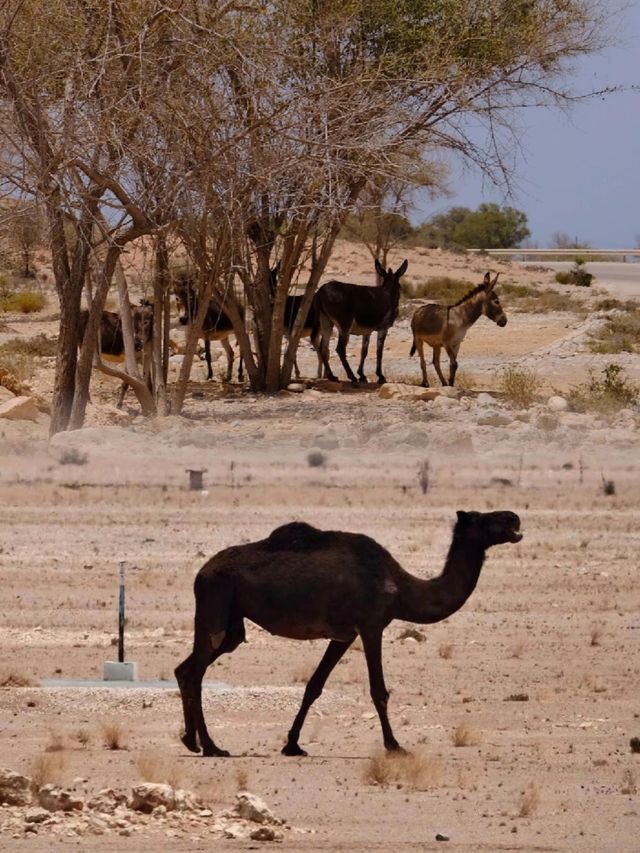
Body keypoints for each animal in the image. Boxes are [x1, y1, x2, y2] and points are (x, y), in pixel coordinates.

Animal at [174, 506, 520, 752]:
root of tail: (201, 573)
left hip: (232, 621)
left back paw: (191, 741)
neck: (401, 588)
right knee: (196, 672)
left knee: (187, 668)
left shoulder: (345, 634)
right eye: (483, 519)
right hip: (216, 602)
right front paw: (394, 745)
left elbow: (314, 686)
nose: (514, 517)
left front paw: (292, 744)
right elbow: (378, 690)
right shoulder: (371, 625)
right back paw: (212, 746)